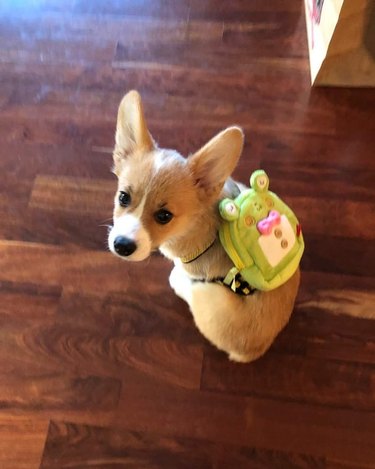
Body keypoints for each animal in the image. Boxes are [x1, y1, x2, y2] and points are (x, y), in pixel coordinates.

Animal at [108, 91, 300, 362]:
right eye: (123, 197)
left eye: (164, 216)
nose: (122, 245)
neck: (194, 224)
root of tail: (252, 351)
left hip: (208, 300)